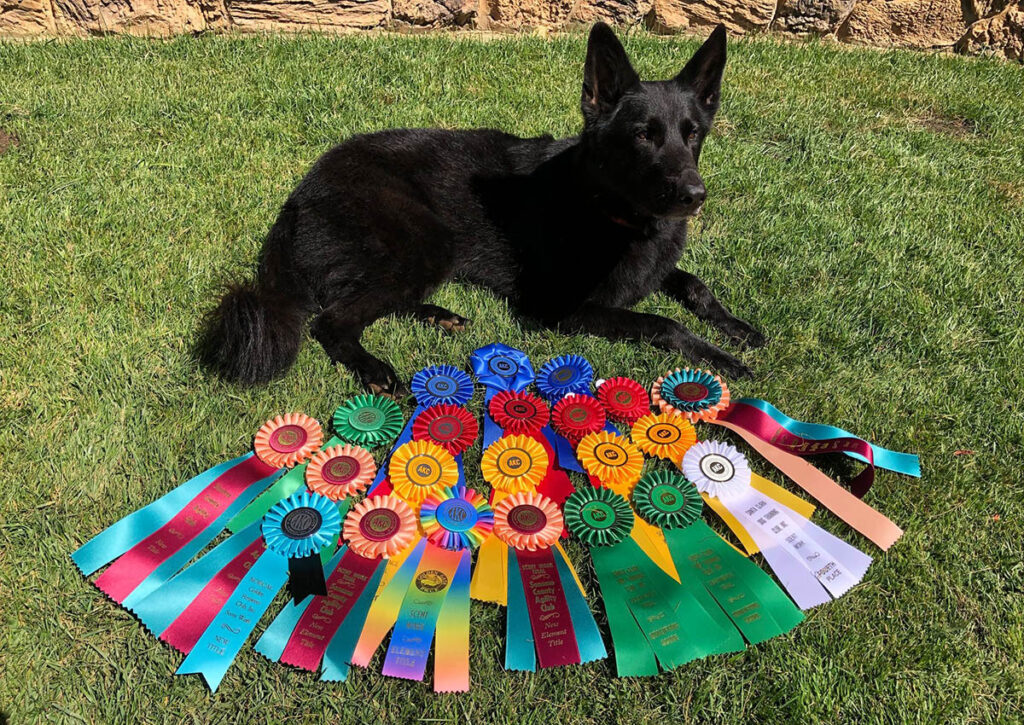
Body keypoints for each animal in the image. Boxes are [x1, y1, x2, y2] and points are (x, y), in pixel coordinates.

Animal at [199, 22, 765, 393]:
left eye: (692, 135)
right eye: (643, 136)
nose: (695, 196)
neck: (607, 207)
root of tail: (300, 191)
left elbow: (694, 284)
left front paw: (738, 328)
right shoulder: (558, 311)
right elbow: (662, 323)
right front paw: (718, 358)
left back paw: (438, 315)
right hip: (428, 240)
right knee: (331, 320)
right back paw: (375, 367)